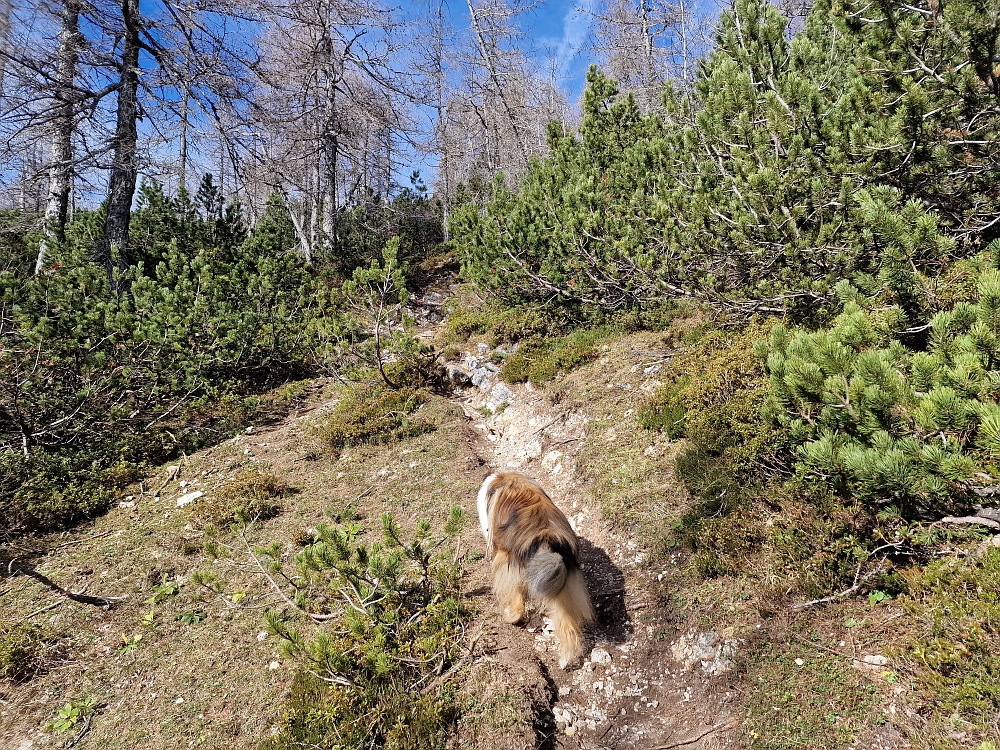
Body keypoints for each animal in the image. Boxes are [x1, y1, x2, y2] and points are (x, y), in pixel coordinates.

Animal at [478, 472, 592, 672]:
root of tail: (546, 535)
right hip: (563, 582)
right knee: (567, 623)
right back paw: (567, 660)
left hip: (508, 563)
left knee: (517, 604)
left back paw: (510, 617)